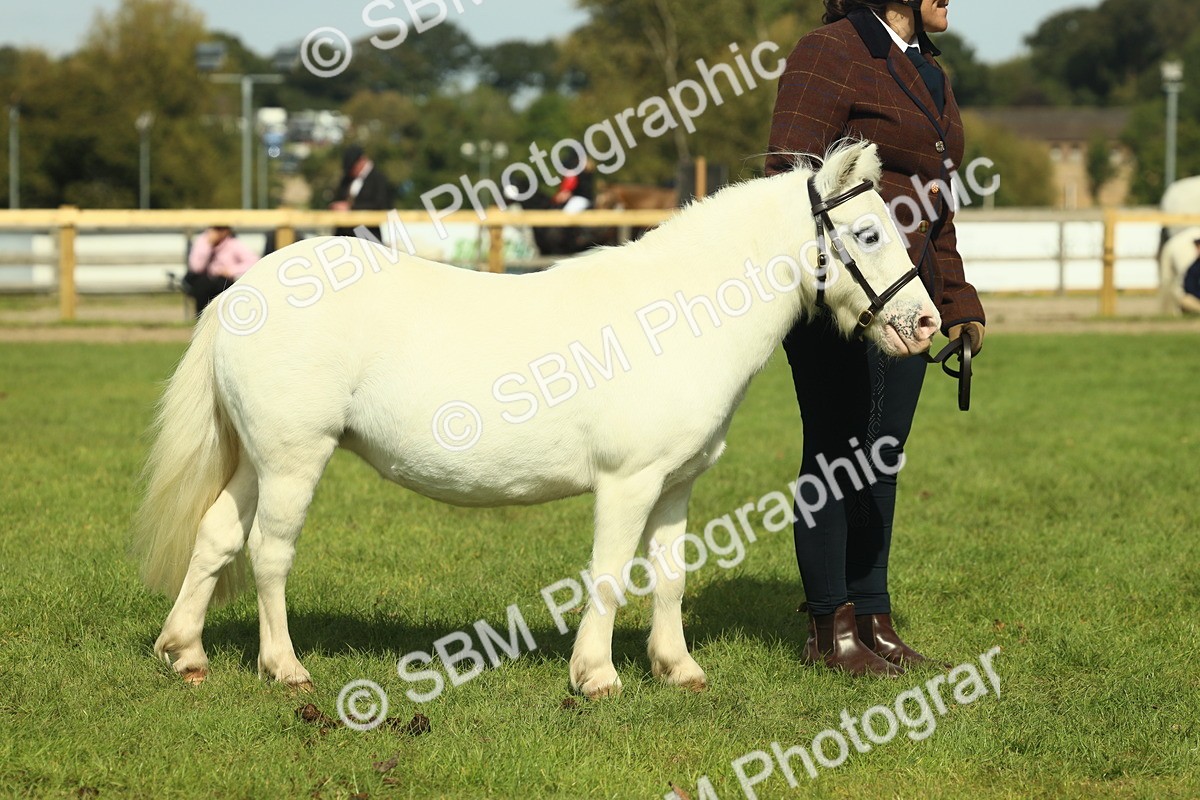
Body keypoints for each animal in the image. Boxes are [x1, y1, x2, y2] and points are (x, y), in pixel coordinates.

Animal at [133, 141, 939, 699]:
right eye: (869, 233)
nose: (926, 323)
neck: (673, 317)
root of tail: (241, 292)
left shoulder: (676, 485)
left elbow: (670, 575)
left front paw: (677, 668)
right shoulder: (628, 483)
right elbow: (610, 574)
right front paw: (597, 676)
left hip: (254, 458)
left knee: (216, 534)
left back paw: (186, 653)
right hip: (294, 458)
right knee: (269, 554)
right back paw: (285, 667)